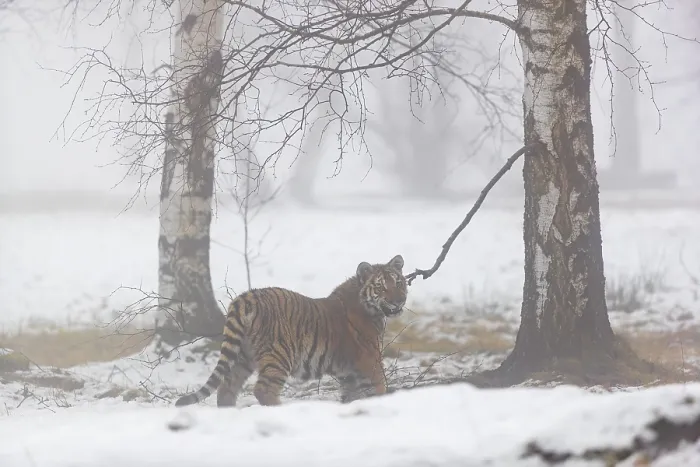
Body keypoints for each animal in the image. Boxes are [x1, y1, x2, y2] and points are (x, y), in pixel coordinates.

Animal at [174, 254, 408, 408]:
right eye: (381, 286)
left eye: (398, 282)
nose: (398, 301)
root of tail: (247, 297)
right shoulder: (370, 359)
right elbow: (379, 387)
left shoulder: (348, 373)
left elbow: (352, 396)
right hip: (279, 354)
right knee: (263, 389)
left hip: (242, 356)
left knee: (226, 388)